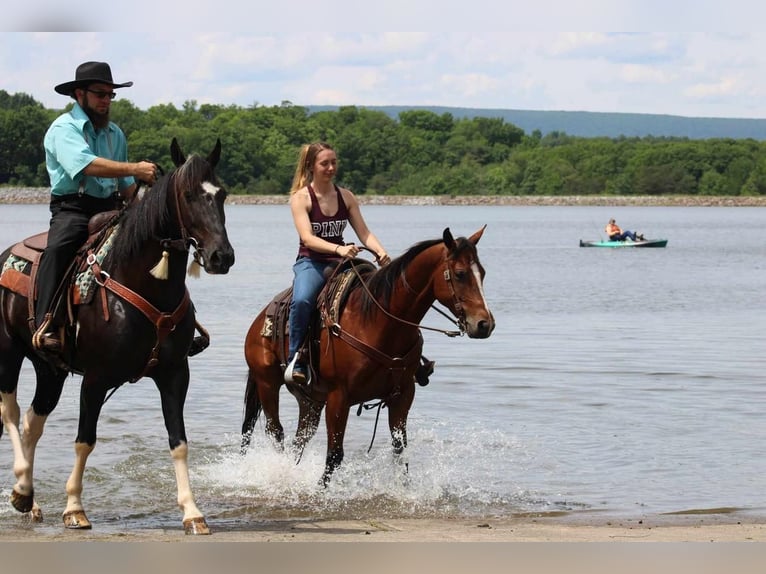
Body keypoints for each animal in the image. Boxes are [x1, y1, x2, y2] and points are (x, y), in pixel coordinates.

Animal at [0, 138, 234, 536]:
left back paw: (26, 496)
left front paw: (192, 512)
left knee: (34, 421)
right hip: (7, 352)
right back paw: (22, 486)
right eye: (187, 195)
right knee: (11, 414)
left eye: (222, 194)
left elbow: (179, 442)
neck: (143, 282)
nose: (222, 256)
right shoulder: (95, 379)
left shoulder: (175, 375)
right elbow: (85, 441)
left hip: (51, 369)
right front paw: (74, 508)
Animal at [242, 227, 498, 488]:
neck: (378, 321)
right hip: (267, 383)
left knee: (300, 438)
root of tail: (259, 320)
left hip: (310, 399)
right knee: (276, 431)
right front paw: (319, 490)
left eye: (483, 273)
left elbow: (400, 452)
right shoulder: (339, 396)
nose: (484, 324)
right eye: (460, 274)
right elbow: (334, 455)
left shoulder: (402, 395)